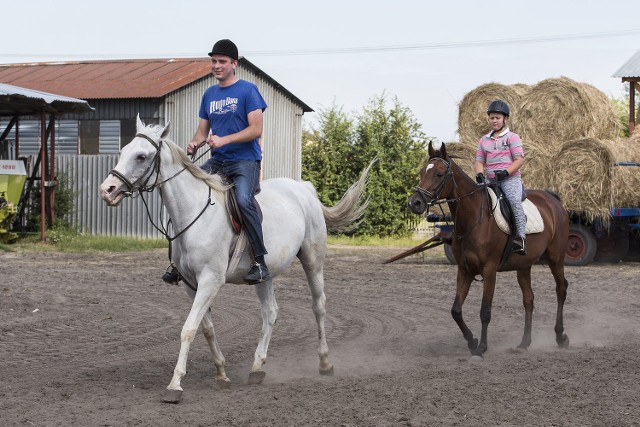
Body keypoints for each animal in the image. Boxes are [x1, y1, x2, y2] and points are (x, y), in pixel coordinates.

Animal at [98, 118, 372, 404]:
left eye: (141, 156)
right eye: (123, 151)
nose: (107, 190)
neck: (193, 212)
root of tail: (303, 189)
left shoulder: (210, 280)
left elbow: (188, 329)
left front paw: (174, 386)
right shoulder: (190, 284)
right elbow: (206, 328)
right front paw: (221, 375)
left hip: (313, 260)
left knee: (318, 306)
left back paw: (325, 363)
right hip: (264, 274)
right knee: (270, 313)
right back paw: (257, 368)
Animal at [408, 142, 568, 360]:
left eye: (439, 174)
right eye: (422, 171)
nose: (414, 203)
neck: (473, 219)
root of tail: (553, 200)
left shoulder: (490, 270)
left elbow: (485, 311)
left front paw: (481, 348)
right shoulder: (464, 270)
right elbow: (455, 311)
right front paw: (472, 341)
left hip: (555, 258)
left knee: (561, 290)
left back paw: (560, 337)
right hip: (524, 266)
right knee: (529, 300)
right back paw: (524, 343)